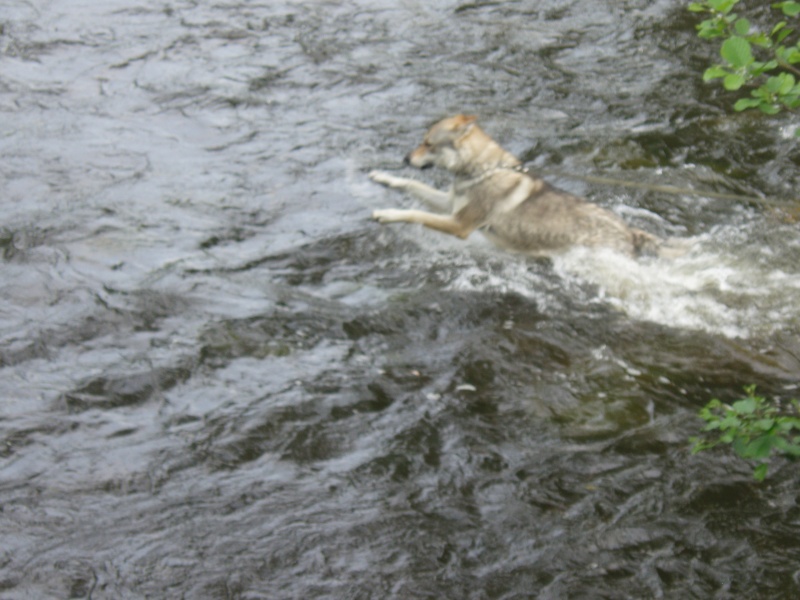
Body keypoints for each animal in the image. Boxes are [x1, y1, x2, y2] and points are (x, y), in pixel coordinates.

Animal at [372, 115, 664, 258]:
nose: (405, 159)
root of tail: (630, 233)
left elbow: (415, 214)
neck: (481, 170)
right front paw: (382, 176)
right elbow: (410, 183)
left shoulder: (459, 225)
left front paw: (385, 214)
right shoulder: (450, 204)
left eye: (428, 143)